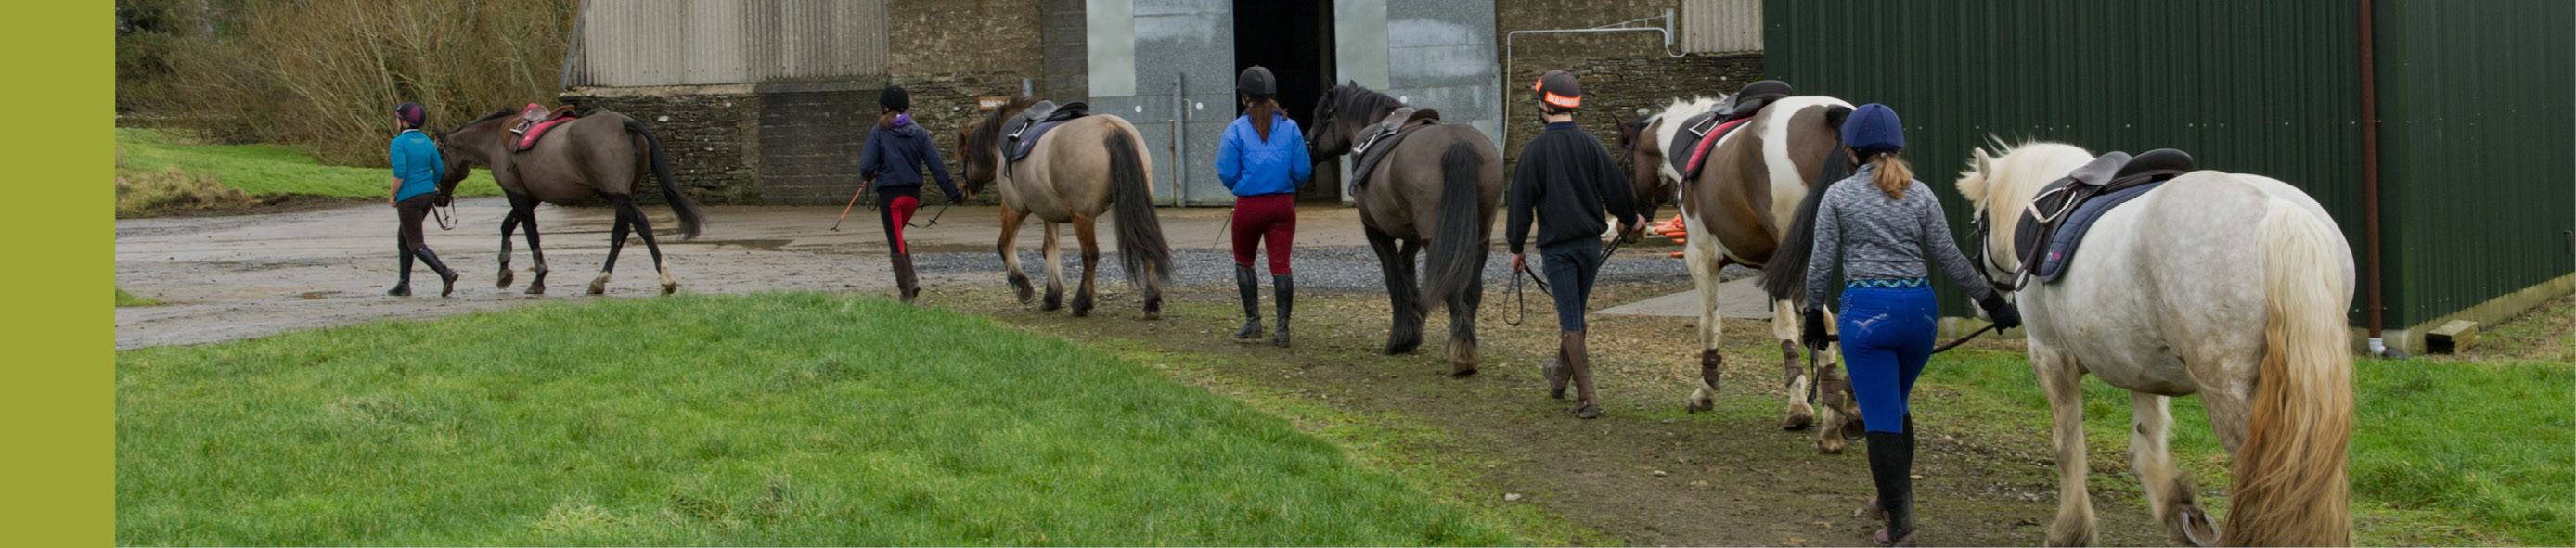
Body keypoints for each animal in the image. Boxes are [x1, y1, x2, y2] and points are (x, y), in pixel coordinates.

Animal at [432, 110, 707, 296]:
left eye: (439, 152)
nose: (438, 197)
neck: (498, 140)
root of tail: (623, 122)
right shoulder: (530, 197)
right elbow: (507, 226)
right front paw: (504, 271)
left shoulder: (517, 195)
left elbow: (530, 235)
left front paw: (538, 279)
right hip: (621, 194)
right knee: (620, 231)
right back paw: (599, 280)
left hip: (618, 195)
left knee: (640, 225)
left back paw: (665, 278)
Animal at [956, 96, 1173, 319]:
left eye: (964, 154)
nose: (964, 188)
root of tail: (1110, 127)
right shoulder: (1048, 211)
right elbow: (1049, 248)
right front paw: (1052, 296)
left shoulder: (1013, 207)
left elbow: (1004, 244)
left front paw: (1022, 286)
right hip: (1139, 207)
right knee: (1146, 244)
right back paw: (1151, 303)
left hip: (1082, 215)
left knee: (1090, 254)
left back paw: (1081, 303)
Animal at [1304, 82, 1504, 376]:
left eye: (1321, 114)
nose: (1309, 146)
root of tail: (1459, 144)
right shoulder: (1413, 235)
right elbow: (1407, 272)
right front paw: (1415, 322)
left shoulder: (1375, 231)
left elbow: (1394, 277)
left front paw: (1401, 338)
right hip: (1480, 240)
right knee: (1470, 292)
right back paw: (1466, 348)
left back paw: (1461, 356)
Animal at [1662, 93, 1865, 453]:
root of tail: (1833, 113)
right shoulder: (1776, 265)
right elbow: (1785, 330)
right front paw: (1801, 403)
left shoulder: (1701, 257)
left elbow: (1710, 324)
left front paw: (1705, 391)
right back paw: (1853, 410)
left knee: (1825, 324)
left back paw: (1831, 425)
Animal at [1953, 141, 2354, 547]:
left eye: (1978, 221)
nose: (1982, 302)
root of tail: (2278, 210)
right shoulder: (2141, 369)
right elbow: (2146, 445)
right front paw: (2180, 510)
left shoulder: (2049, 356)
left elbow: (2067, 444)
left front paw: (2071, 529)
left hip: (2233, 395)